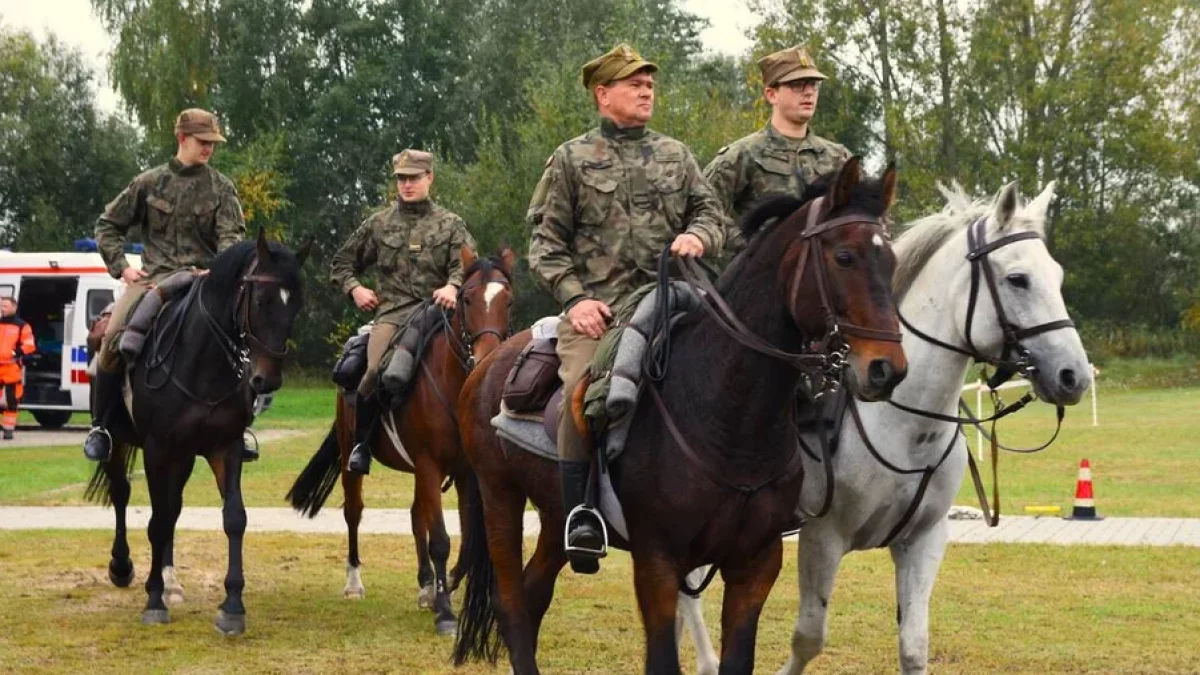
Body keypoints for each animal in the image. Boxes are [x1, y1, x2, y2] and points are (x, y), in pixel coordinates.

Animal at [84, 229, 309, 629]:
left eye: (295, 305)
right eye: (262, 299)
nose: (266, 380)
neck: (201, 363)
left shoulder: (225, 448)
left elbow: (233, 518)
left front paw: (232, 605)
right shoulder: (157, 449)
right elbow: (156, 521)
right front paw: (153, 599)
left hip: (183, 456)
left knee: (172, 506)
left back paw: (170, 580)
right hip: (122, 443)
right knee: (122, 493)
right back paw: (123, 567)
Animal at [292, 243, 518, 634]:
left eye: (508, 300)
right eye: (467, 299)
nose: (487, 358)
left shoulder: (464, 473)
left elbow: (467, 538)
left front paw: (445, 587)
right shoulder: (430, 465)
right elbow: (440, 539)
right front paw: (445, 612)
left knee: (415, 517)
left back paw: (426, 585)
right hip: (353, 460)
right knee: (354, 512)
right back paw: (355, 582)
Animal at [453, 158, 902, 672]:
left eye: (890, 261)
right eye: (844, 257)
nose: (886, 368)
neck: (728, 417)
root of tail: (487, 364)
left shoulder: (756, 564)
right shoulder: (657, 563)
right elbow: (663, 658)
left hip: (552, 514)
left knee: (533, 595)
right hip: (499, 499)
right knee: (510, 604)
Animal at [777, 180, 1099, 672]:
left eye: (1058, 277)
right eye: (1017, 279)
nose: (1073, 375)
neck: (905, 424)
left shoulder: (923, 541)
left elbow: (913, 644)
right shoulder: (821, 538)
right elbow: (808, 638)